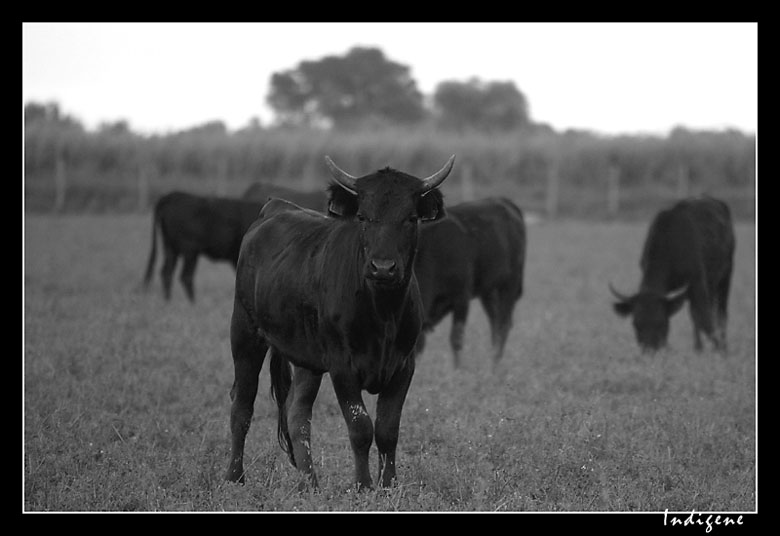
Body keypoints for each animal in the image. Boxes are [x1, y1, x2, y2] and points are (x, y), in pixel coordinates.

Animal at [225, 155, 458, 490]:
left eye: (411, 218)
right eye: (363, 216)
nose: (383, 267)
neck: (382, 312)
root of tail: (275, 207)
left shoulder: (404, 366)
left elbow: (388, 429)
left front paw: (389, 485)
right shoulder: (342, 367)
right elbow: (361, 427)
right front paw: (363, 486)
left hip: (307, 359)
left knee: (297, 415)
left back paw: (309, 483)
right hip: (245, 334)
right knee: (242, 406)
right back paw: (235, 477)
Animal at [412, 197, 528, 368]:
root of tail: (502, 200)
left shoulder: (462, 297)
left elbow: (456, 338)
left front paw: (457, 369)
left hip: (509, 284)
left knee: (503, 325)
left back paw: (495, 364)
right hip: (489, 290)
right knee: (495, 323)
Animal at [608, 195, 736, 354]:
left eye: (660, 322)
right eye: (636, 323)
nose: (649, 351)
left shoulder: (697, 282)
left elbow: (701, 316)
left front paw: (717, 348)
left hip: (726, 277)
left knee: (720, 313)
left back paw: (719, 345)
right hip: (711, 284)